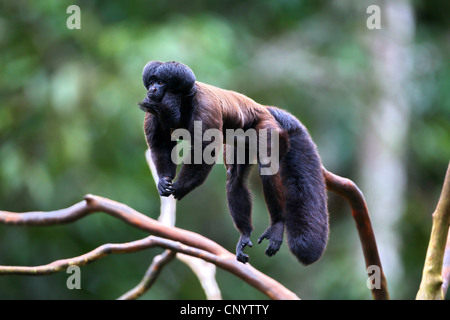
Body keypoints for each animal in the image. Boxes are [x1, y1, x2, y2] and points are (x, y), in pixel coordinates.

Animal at [139, 60, 328, 264]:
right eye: (152, 82)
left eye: (160, 82)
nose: (153, 88)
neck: (184, 101)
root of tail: (264, 108)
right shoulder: (153, 111)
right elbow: (160, 143)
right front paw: (163, 181)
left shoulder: (205, 107)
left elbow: (205, 149)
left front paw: (182, 186)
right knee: (235, 178)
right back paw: (245, 233)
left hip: (269, 128)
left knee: (267, 166)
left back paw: (277, 224)